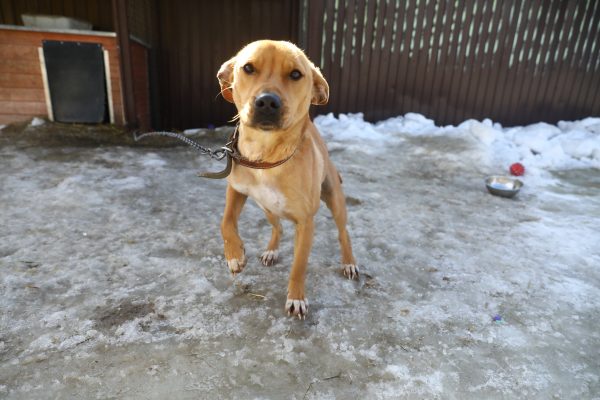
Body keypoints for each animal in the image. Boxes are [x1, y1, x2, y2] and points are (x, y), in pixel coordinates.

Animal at [216, 39, 356, 318]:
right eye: (248, 68)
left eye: (295, 74)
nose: (267, 102)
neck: (266, 157)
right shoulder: (236, 189)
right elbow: (226, 222)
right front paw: (234, 255)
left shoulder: (306, 223)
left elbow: (299, 266)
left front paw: (296, 298)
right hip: (267, 207)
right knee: (277, 227)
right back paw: (271, 251)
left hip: (335, 201)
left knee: (343, 232)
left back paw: (349, 262)